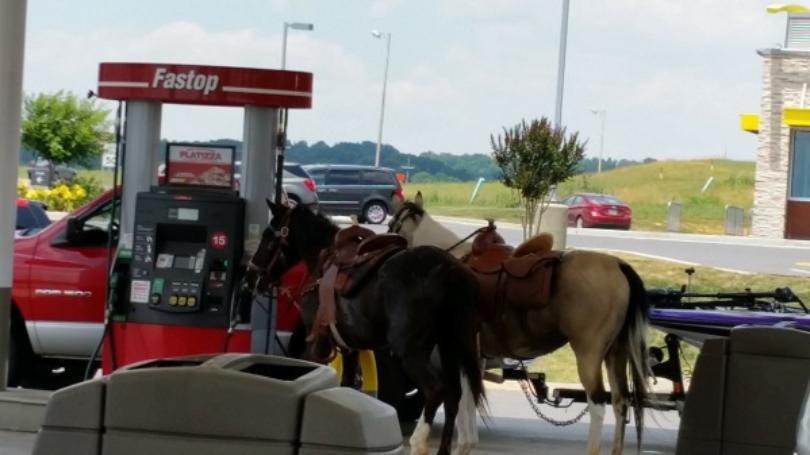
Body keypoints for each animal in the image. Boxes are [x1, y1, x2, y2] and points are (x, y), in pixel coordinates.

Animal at [246, 203, 482, 455]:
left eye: (268, 236)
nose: (251, 276)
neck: (322, 259)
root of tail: (449, 270)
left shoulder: (316, 341)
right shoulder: (350, 346)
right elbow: (347, 385)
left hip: (411, 351)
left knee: (436, 389)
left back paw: (418, 441)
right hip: (450, 347)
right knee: (454, 395)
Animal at [386, 194, 652, 455]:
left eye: (392, 224)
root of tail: (618, 265)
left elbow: (453, 396)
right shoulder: (475, 355)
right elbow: (469, 397)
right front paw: (466, 444)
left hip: (589, 353)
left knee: (597, 404)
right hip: (615, 353)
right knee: (620, 402)